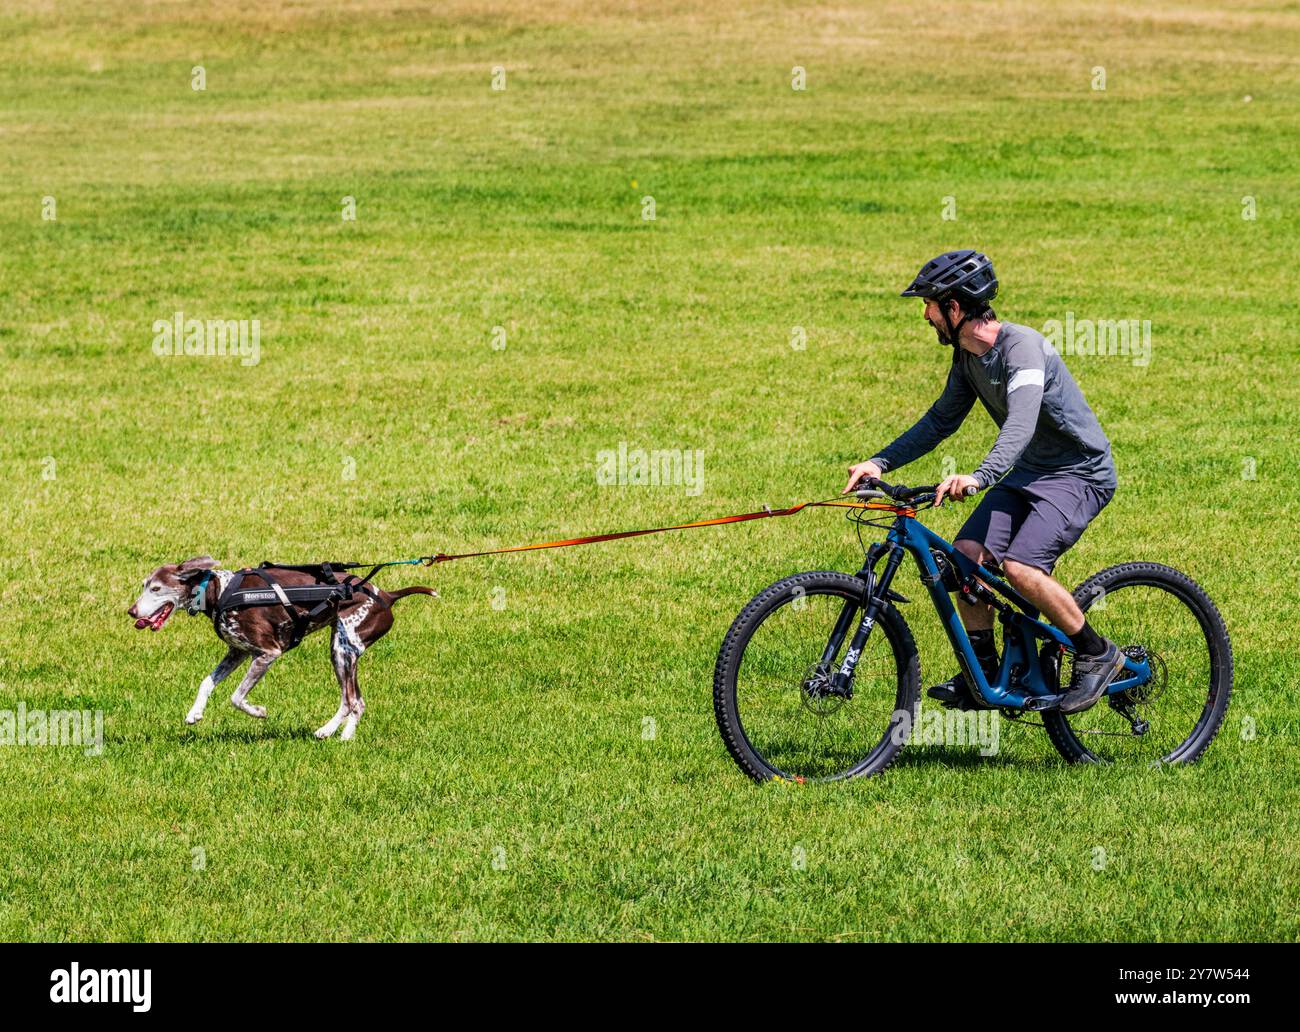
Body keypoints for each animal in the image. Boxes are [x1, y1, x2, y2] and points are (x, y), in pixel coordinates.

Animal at [130, 553, 436, 738]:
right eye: (144, 584)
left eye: (156, 589)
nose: (132, 612)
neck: (219, 592)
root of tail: (388, 595)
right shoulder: (238, 652)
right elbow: (206, 682)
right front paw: (195, 712)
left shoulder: (267, 653)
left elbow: (236, 697)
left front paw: (258, 712)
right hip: (346, 651)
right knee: (357, 702)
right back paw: (345, 737)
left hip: (342, 649)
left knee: (350, 700)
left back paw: (326, 731)